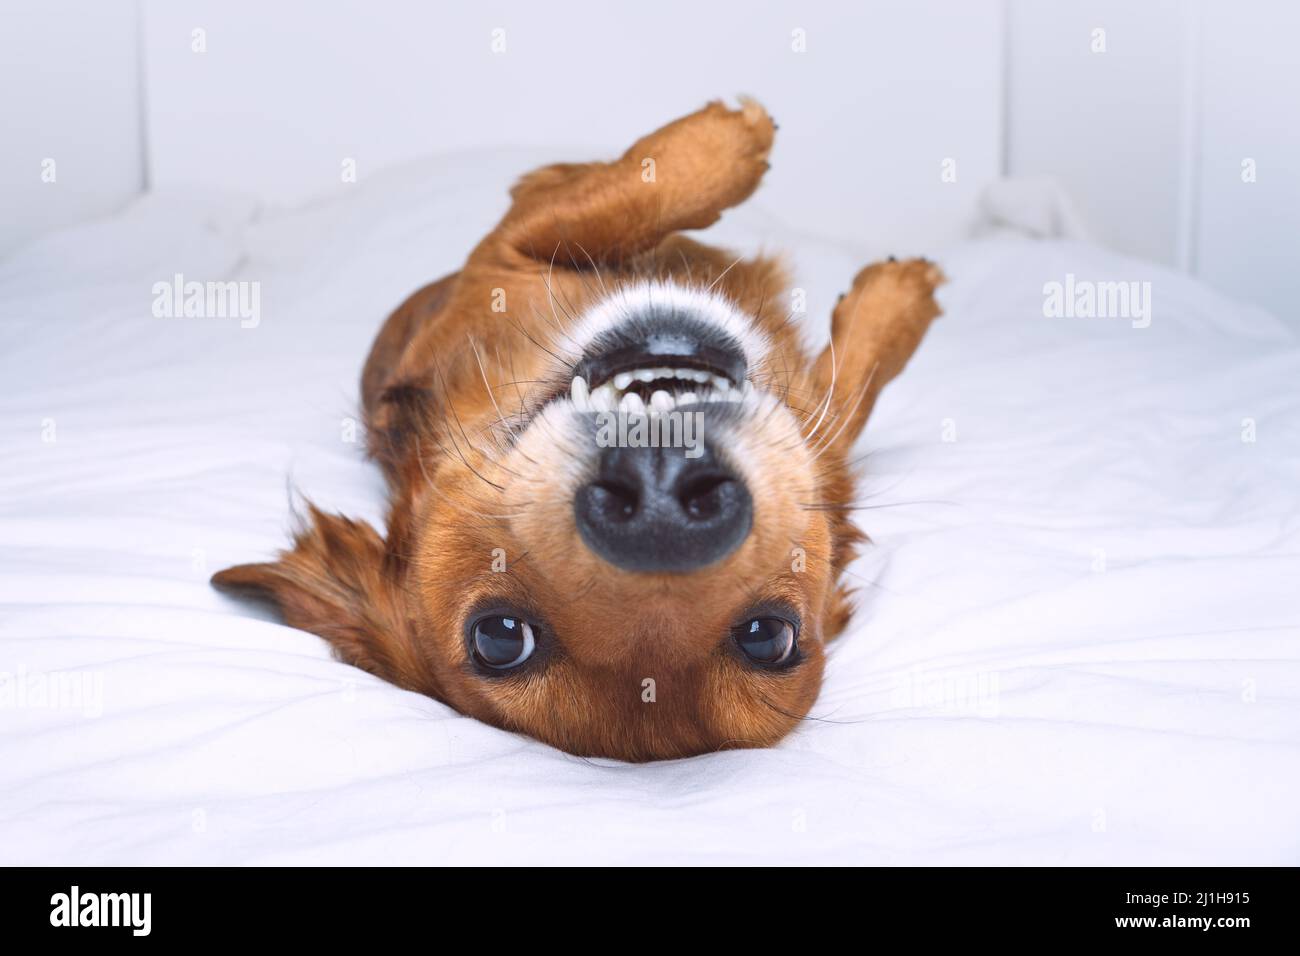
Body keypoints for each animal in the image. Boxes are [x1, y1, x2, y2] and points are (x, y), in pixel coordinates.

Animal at [215, 100, 946, 764]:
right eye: (500, 637)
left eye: (768, 636)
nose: (662, 513)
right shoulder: (504, 246)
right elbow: (601, 204)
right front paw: (726, 142)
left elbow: (850, 392)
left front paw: (897, 301)